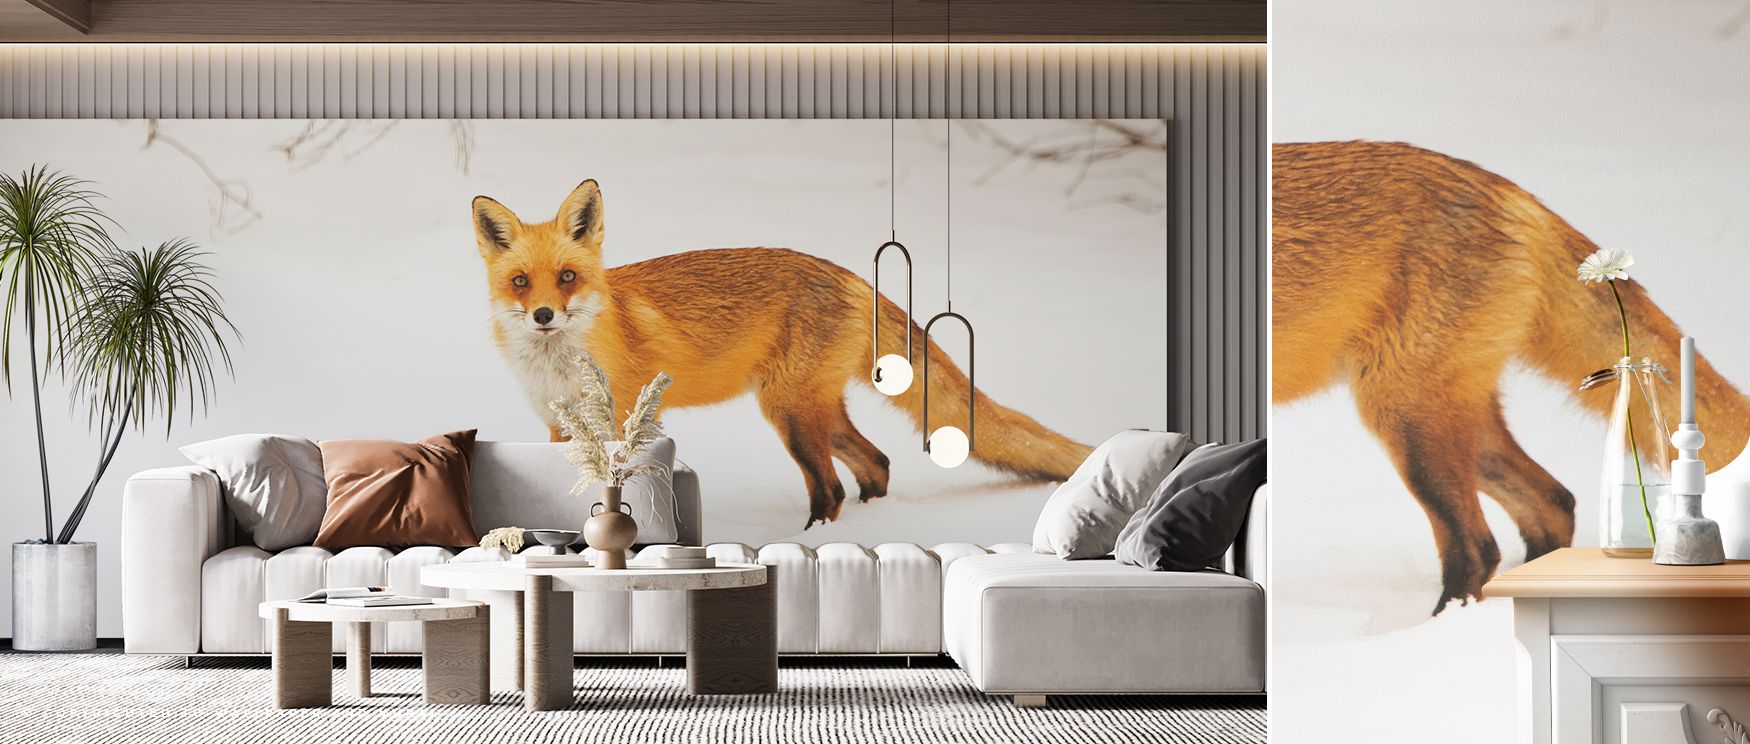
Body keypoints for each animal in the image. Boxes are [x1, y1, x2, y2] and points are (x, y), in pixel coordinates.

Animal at [471, 180, 1092, 528]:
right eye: (521, 282)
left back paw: (813, 543)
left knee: (833, 486)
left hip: (788, 412)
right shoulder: (560, 427)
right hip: (811, 410)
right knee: (877, 463)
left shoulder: (627, 419)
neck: (559, 365)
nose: (544, 315)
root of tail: (849, 275)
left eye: (568, 277)